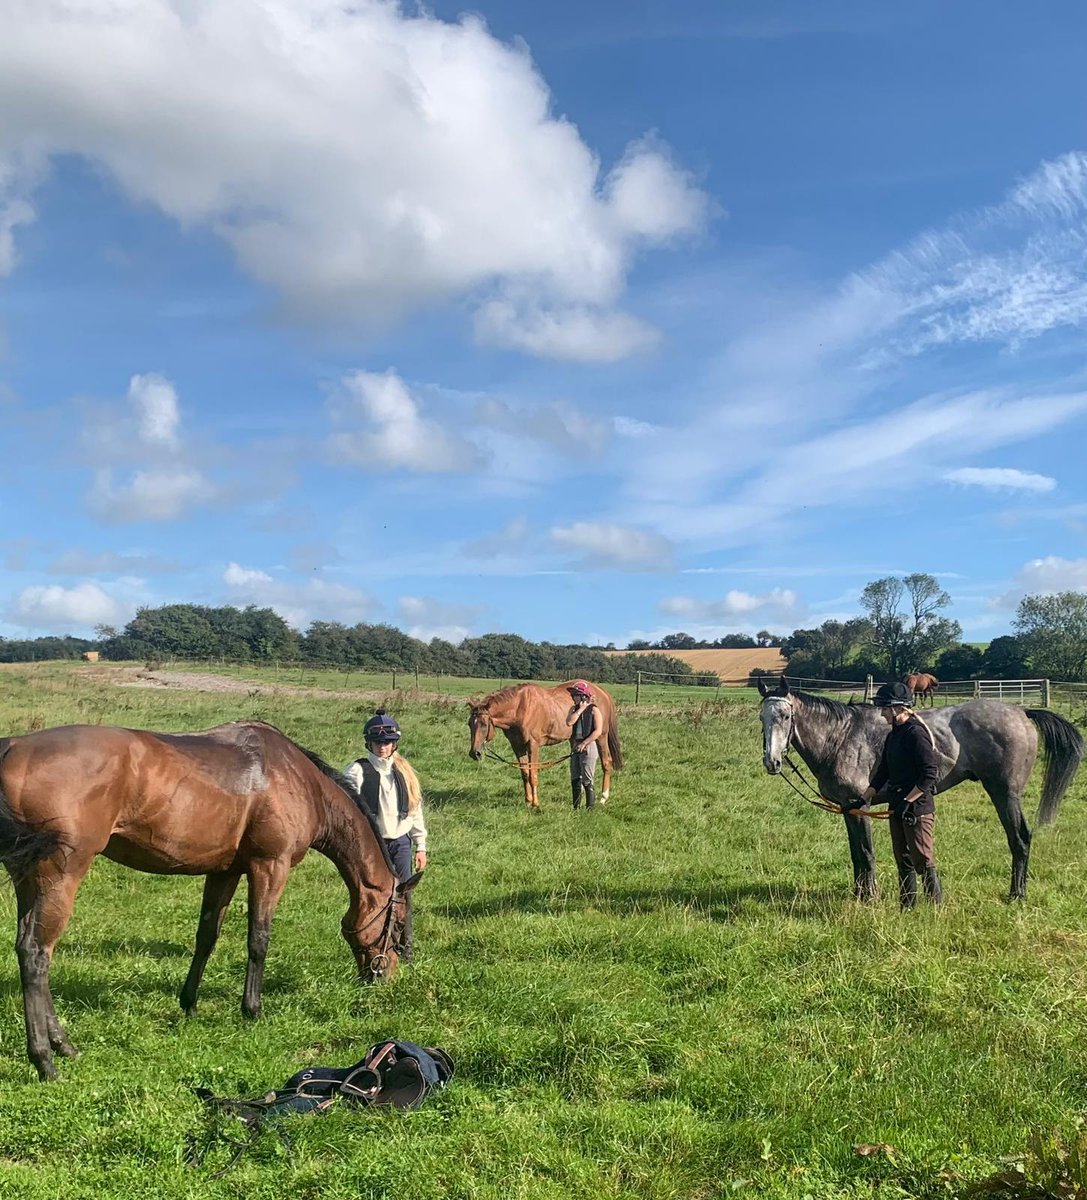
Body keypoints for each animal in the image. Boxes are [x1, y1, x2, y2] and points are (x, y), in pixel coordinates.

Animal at [0, 720, 418, 1081]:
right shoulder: (270, 866)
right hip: (60, 874)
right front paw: (252, 1009)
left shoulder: (224, 872)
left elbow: (206, 937)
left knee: (27, 949)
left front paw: (189, 1003)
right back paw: (45, 1060)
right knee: (37, 953)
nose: (384, 976)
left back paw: (63, 1046)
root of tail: (12, 747)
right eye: (397, 925)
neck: (298, 780)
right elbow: (258, 939)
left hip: (27, 878)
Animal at [468, 680, 623, 808]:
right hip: (574, 740)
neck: (520, 707)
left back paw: (603, 798)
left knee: (606, 762)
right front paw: (528, 801)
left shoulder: (533, 745)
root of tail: (602, 691)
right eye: (469, 724)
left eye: (483, 724)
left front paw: (535, 804)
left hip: (601, 736)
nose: (475, 753)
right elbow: (525, 773)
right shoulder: (517, 746)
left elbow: (533, 775)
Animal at [758, 676, 1084, 902]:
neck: (841, 737)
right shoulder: (848, 809)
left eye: (785, 716)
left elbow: (866, 853)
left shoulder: (860, 806)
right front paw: (858, 893)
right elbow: (856, 854)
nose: (772, 762)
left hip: (1005, 793)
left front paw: (869, 897)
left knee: (1020, 839)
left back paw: (1016, 895)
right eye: (762, 718)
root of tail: (1023, 713)